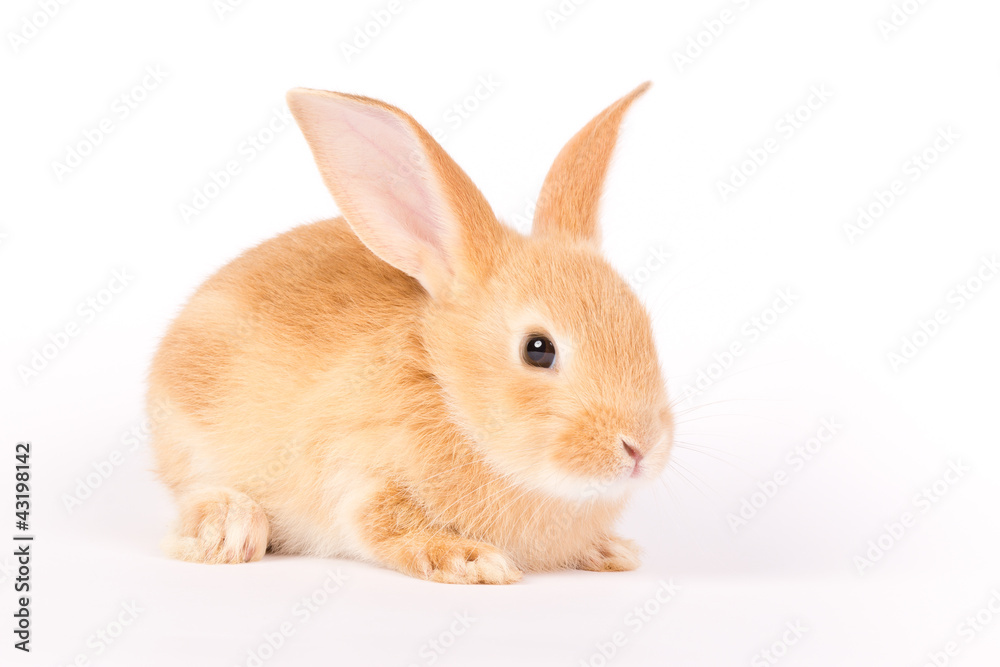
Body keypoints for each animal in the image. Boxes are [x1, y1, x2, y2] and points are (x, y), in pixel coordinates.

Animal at [148, 81, 673, 584]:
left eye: (644, 327)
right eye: (537, 349)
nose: (640, 449)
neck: (446, 389)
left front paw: (610, 551)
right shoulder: (361, 478)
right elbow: (389, 527)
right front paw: (473, 562)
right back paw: (229, 528)